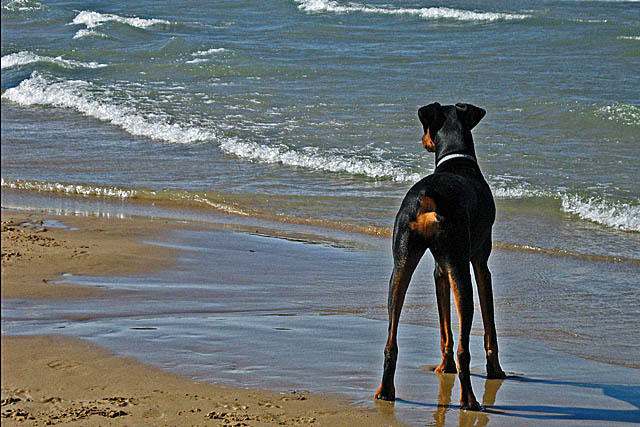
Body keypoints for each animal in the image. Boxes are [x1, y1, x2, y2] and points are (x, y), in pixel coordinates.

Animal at [376, 103, 504, 412]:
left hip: (401, 265)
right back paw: (469, 400)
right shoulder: (479, 263)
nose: (423, 141)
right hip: (461, 270)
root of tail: (428, 195)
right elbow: (489, 324)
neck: (457, 159)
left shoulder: (439, 270)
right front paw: (496, 371)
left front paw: (444, 368)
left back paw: (386, 391)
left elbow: (444, 326)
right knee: (464, 349)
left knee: (391, 340)